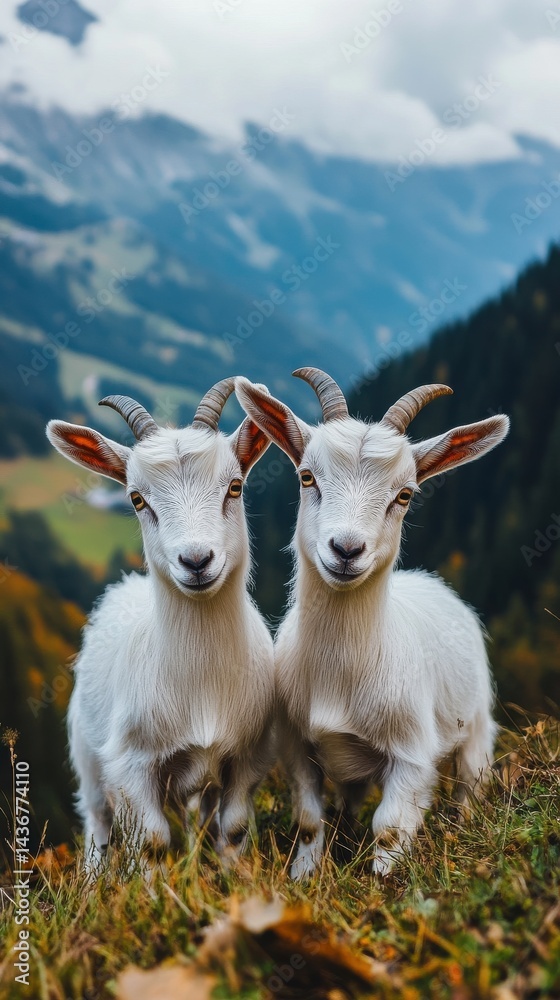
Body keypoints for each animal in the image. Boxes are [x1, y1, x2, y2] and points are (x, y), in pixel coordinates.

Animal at [46, 380, 275, 870]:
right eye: (137, 499)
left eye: (235, 486)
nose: (196, 560)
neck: (201, 683)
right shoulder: (130, 764)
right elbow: (149, 840)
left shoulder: (247, 756)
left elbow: (232, 828)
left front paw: (234, 879)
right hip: (87, 757)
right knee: (98, 825)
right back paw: (93, 880)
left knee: (199, 818)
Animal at [235, 369, 509, 878]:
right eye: (307, 476)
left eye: (405, 494)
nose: (346, 549)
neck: (341, 672)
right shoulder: (298, 746)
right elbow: (309, 819)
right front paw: (305, 878)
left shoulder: (412, 756)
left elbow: (390, 829)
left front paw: (385, 884)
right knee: (349, 800)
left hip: (477, 727)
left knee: (469, 788)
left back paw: (462, 828)